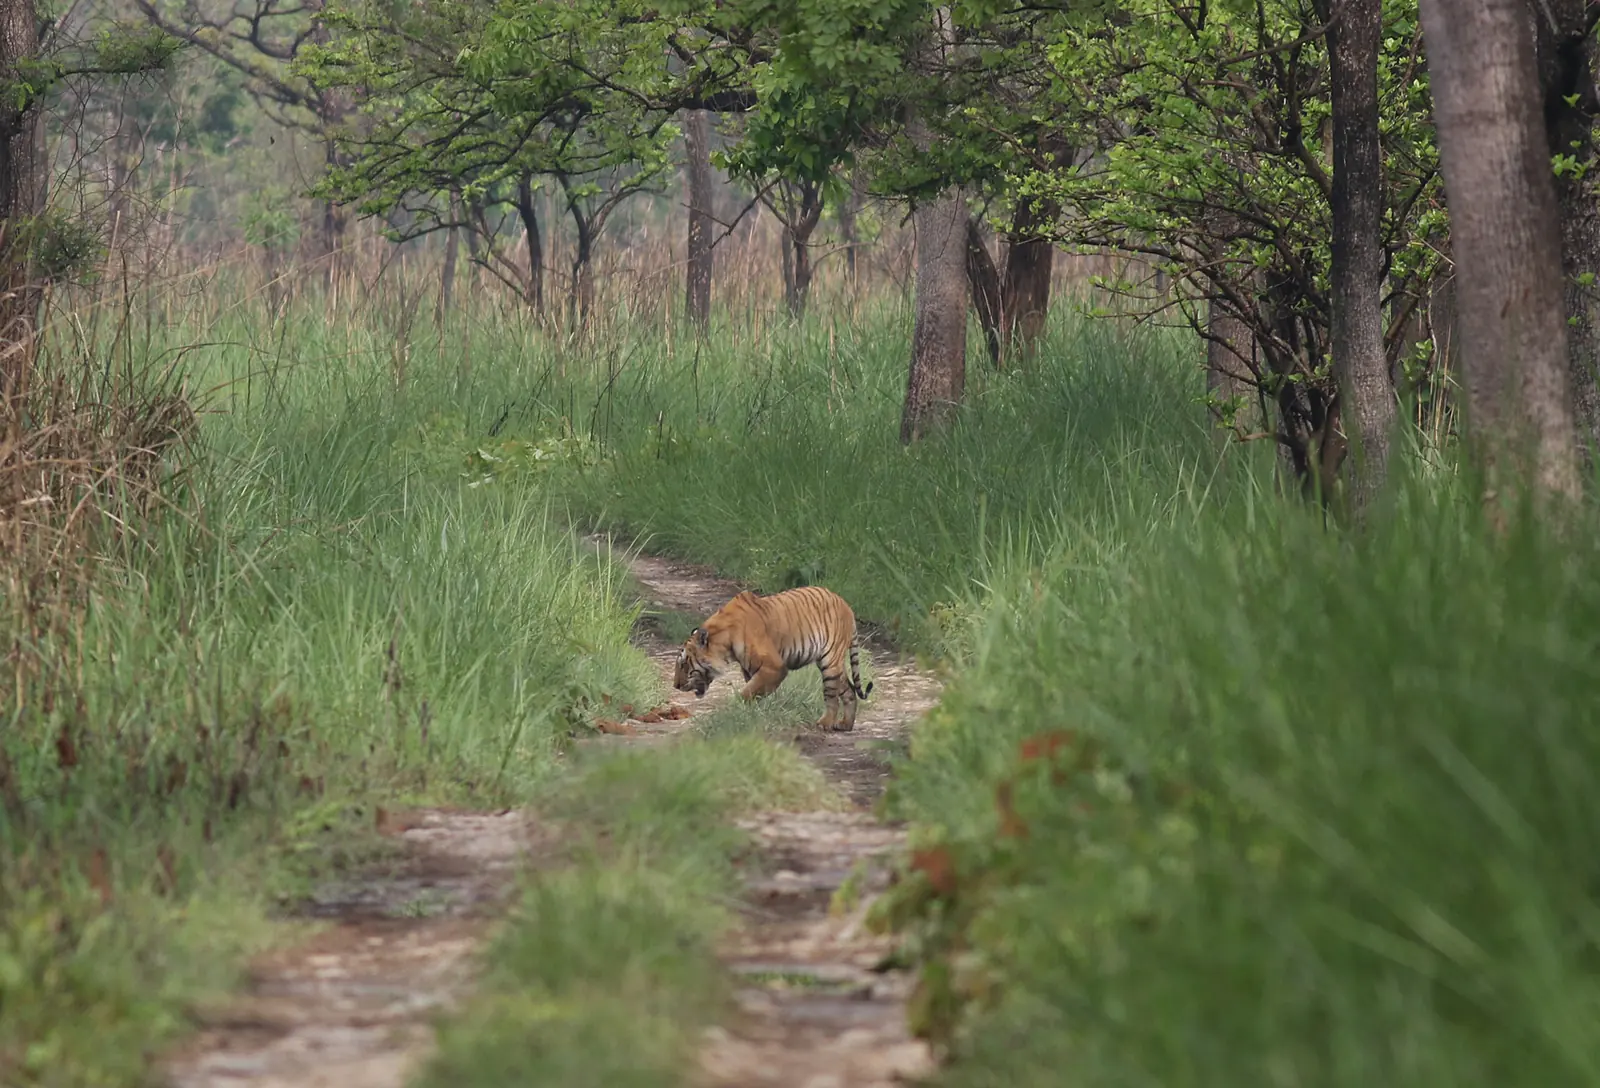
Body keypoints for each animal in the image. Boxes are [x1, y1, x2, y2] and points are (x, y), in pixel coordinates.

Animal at [672, 586, 874, 731]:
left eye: (683, 664)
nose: (675, 685)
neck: (724, 642)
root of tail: (846, 605)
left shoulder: (774, 667)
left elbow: (748, 692)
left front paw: (738, 710)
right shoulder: (750, 669)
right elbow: (755, 690)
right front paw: (755, 714)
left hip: (830, 662)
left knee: (832, 695)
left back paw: (825, 723)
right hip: (834, 664)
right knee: (849, 689)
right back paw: (845, 724)